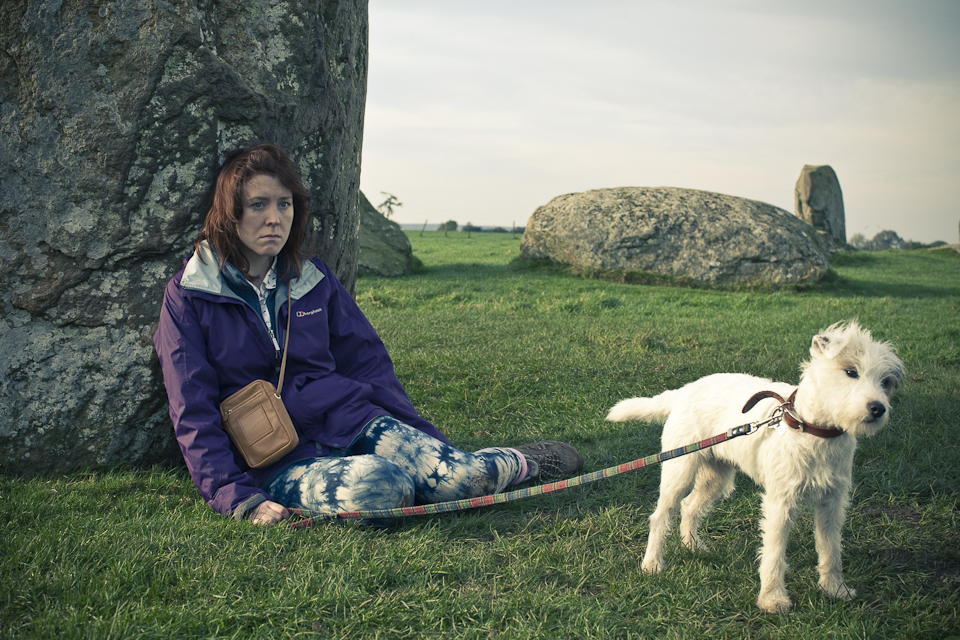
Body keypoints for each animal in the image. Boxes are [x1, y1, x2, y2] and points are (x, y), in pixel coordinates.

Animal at [612, 322, 904, 612]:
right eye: (851, 371)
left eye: (886, 382)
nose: (878, 409)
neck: (810, 429)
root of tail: (684, 390)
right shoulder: (780, 503)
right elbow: (774, 553)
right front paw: (773, 599)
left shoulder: (832, 502)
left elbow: (831, 550)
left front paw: (834, 589)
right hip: (679, 472)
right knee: (661, 516)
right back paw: (652, 564)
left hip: (715, 477)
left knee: (690, 506)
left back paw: (692, 545)